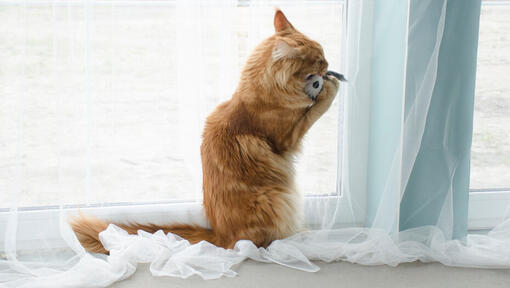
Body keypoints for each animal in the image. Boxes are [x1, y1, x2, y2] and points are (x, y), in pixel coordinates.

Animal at [70, 9, 338, 253]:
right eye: (318, 58)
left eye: (323, 54)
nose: (328, 64)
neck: (262, 92)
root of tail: (220, 235)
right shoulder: (286, 138)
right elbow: (314, 110)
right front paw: (329, 88)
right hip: (275, 198)